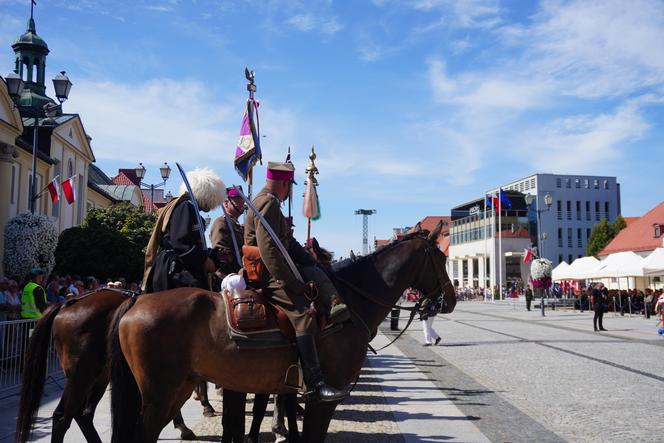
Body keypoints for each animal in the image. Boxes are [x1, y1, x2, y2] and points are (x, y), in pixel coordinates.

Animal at [109, 224, 454, 442]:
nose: (449, 299)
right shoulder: (323, 401)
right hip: (159, 395)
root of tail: (135, 300)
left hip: (178, 388)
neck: (350, 302)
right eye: (441, 257)